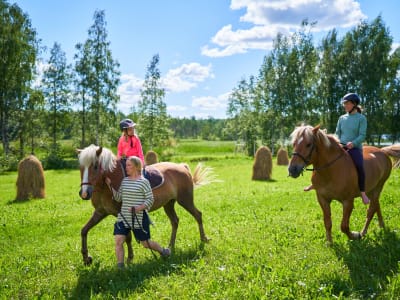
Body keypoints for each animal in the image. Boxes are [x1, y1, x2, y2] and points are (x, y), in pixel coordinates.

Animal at [78, 145, 216, 264]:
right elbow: (84, 230)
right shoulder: (100, 212)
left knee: (198, 215)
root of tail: (182, 167)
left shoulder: (123, 214)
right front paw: (86, 258)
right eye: (81, 167)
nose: (84, 193)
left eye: (95, 166)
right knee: (175, 221)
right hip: (168, 204)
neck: (105, 186)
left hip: (185, 200)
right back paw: (170, 246)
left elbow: (128, 237)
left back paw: (204, 239)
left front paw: (129, 258)